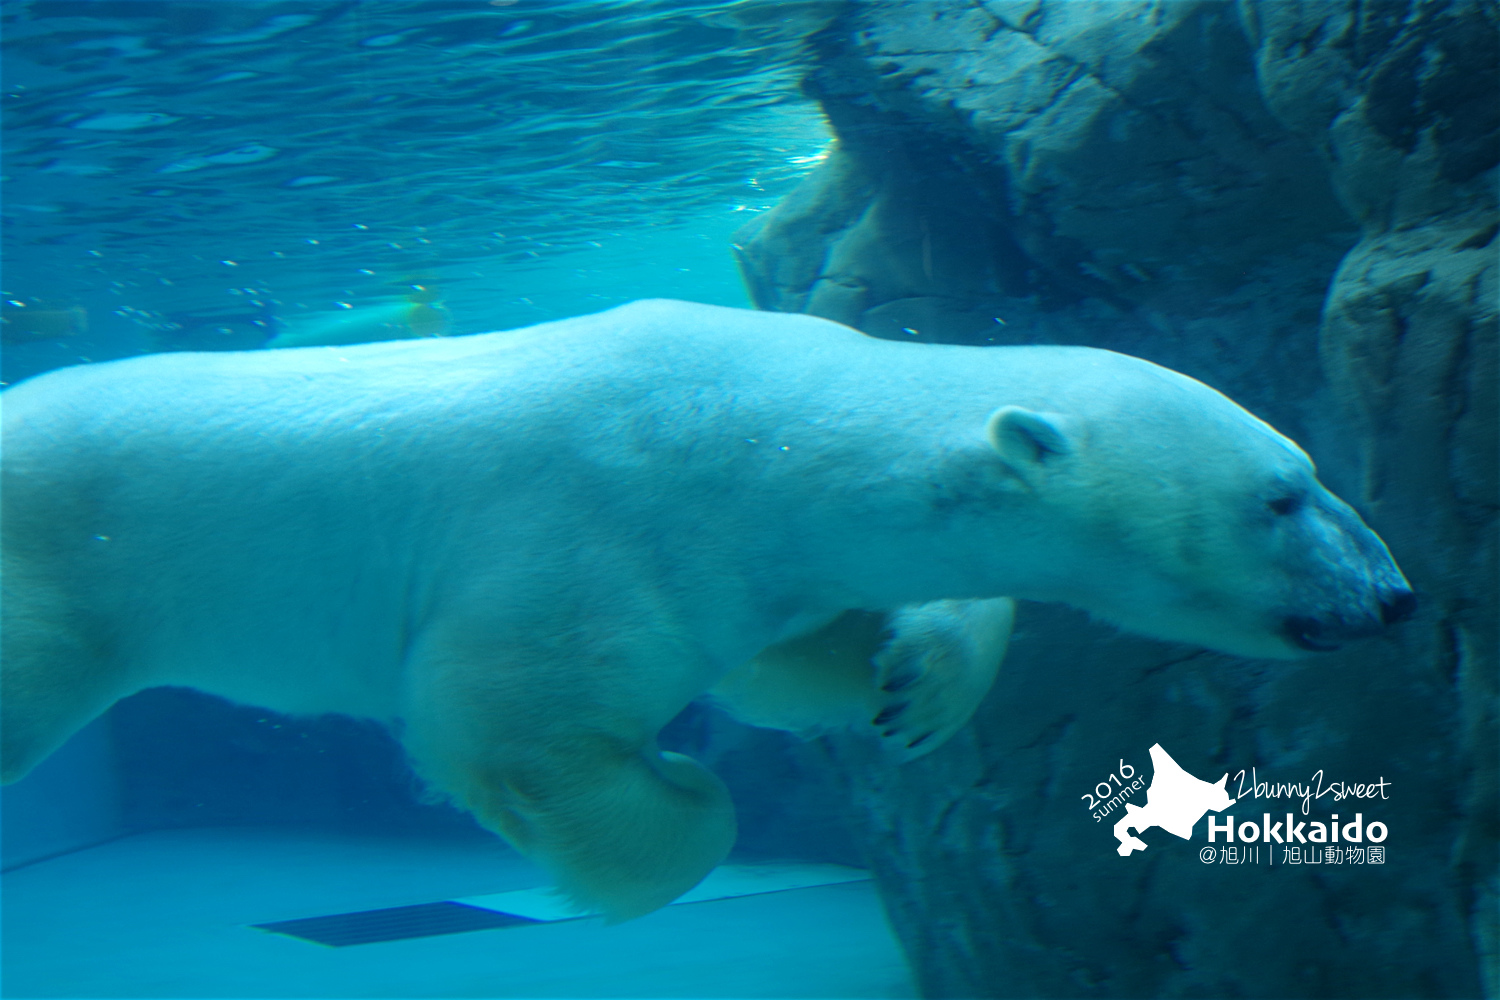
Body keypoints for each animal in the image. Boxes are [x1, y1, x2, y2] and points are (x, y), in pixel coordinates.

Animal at [0, 299, 1414, 920]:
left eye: (1312, 469)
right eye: (1282, 495)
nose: (1392, 596)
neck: (738, 422)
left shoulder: (747, 563)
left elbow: (789, 659)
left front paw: (912, 686)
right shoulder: (584, 530)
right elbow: (501, 715)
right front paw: (672, 800)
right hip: (55, 576)